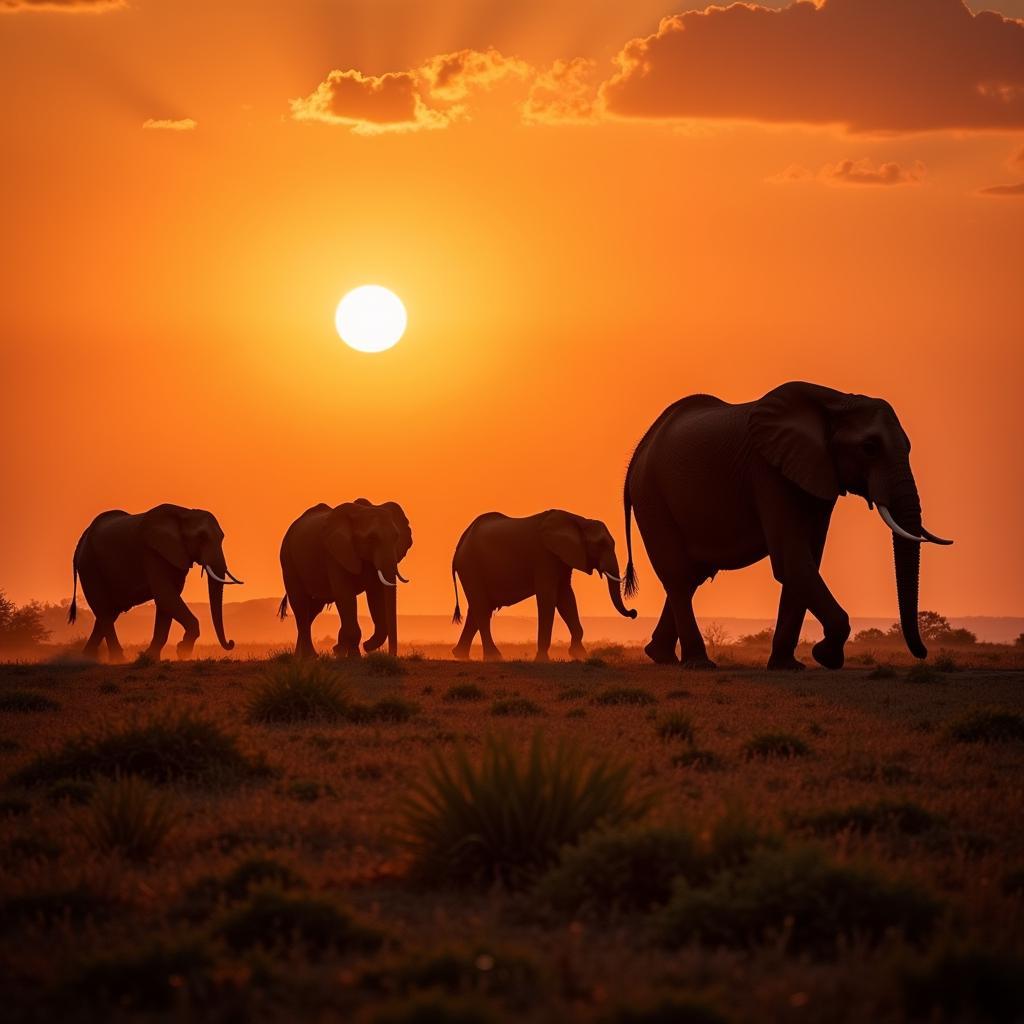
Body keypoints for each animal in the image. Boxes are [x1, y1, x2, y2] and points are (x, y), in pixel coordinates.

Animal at [68, 505, 243, 663]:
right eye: (201, 537)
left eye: (222, 537)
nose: (231, 643)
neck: (184, 513)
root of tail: (80, 543)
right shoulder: (152, 552)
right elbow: (165, 595)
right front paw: (182, 651)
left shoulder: (173, 556)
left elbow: (168, 600)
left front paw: (153, 657)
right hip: (90, 567)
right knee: (104, 611)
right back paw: (117, 659)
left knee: (108, 613)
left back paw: (85, 658)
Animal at [280, 499, 411, 659]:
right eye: (371, 538)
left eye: (396, 537)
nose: (367, 645)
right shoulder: (335, 555)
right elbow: (345, 596)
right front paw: (355, 656)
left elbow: (376, 595)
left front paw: (342, 651)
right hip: (288, 561)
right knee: (301, 605)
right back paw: (307, 657)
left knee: (313, 610)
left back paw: (305, 656)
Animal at [452, 505, 634, 663]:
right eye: (601, 544)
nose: (633, 612)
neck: (578, 521)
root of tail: (460, 544)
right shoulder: (544, 556)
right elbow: (548, 596)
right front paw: (542, 659)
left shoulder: (562, 558)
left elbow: (566, 597)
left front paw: (580, 655)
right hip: (470, 567)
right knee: (482, 609)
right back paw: (494, 657)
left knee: (478, 609)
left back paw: (460, 655)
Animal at [622, 385, 950, 671]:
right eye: (869, 447)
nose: (922, 653)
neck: (835, 401)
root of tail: (638, 451)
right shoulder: (768, 472)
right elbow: (793, 561)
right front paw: (826, 656)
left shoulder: (817, 476)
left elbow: (806, 561)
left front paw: (788, 666)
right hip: (652, 498)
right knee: (678, 576)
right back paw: (699, 665)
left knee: (692, 577)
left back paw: (661, 656)